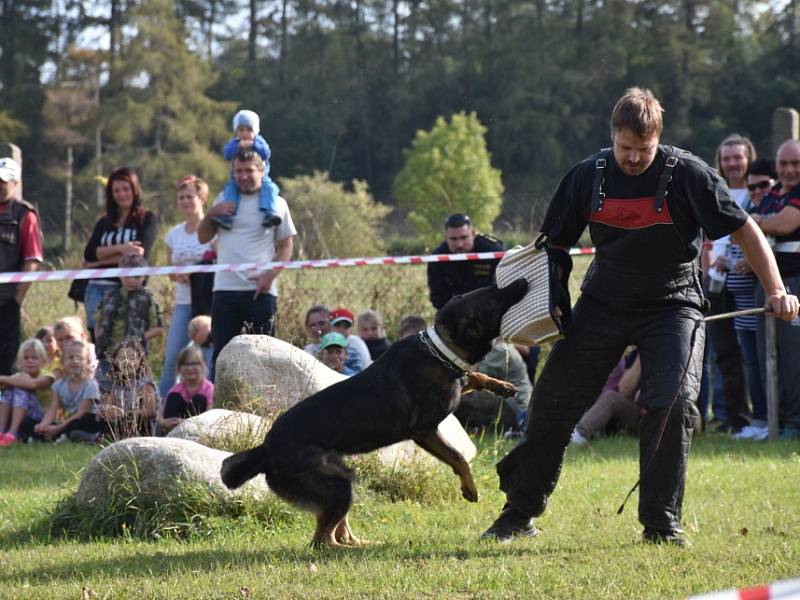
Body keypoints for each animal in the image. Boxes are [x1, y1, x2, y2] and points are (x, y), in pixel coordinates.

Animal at [222, 278, 528, 548]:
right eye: (494, 297)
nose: (522, 281)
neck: (441, 351)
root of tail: (265, 449)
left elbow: (474, 375)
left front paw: (501, 386)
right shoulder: (425, 430)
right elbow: (458, 458)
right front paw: (470, 488)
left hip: (342, 480)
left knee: (338, 532)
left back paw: (366, 542)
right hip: (336, 485)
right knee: (322, 542)